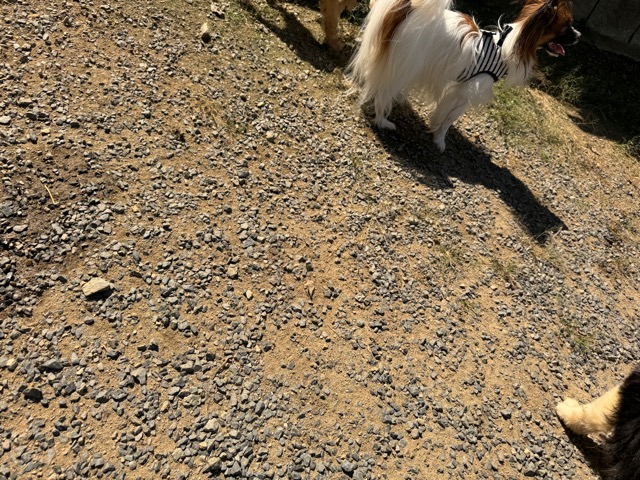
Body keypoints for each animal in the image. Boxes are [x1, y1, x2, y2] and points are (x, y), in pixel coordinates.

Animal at [347, 0, 580, 151]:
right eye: (567, 27)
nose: (579, 35)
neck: (508, 46)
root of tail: (407, 10)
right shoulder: (470, 90)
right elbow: (450, 118)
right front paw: (439, 140)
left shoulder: (460, 87)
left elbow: (443, 113)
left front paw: (434, 129)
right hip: (406, 65)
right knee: (383, 91)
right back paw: (382, 120)